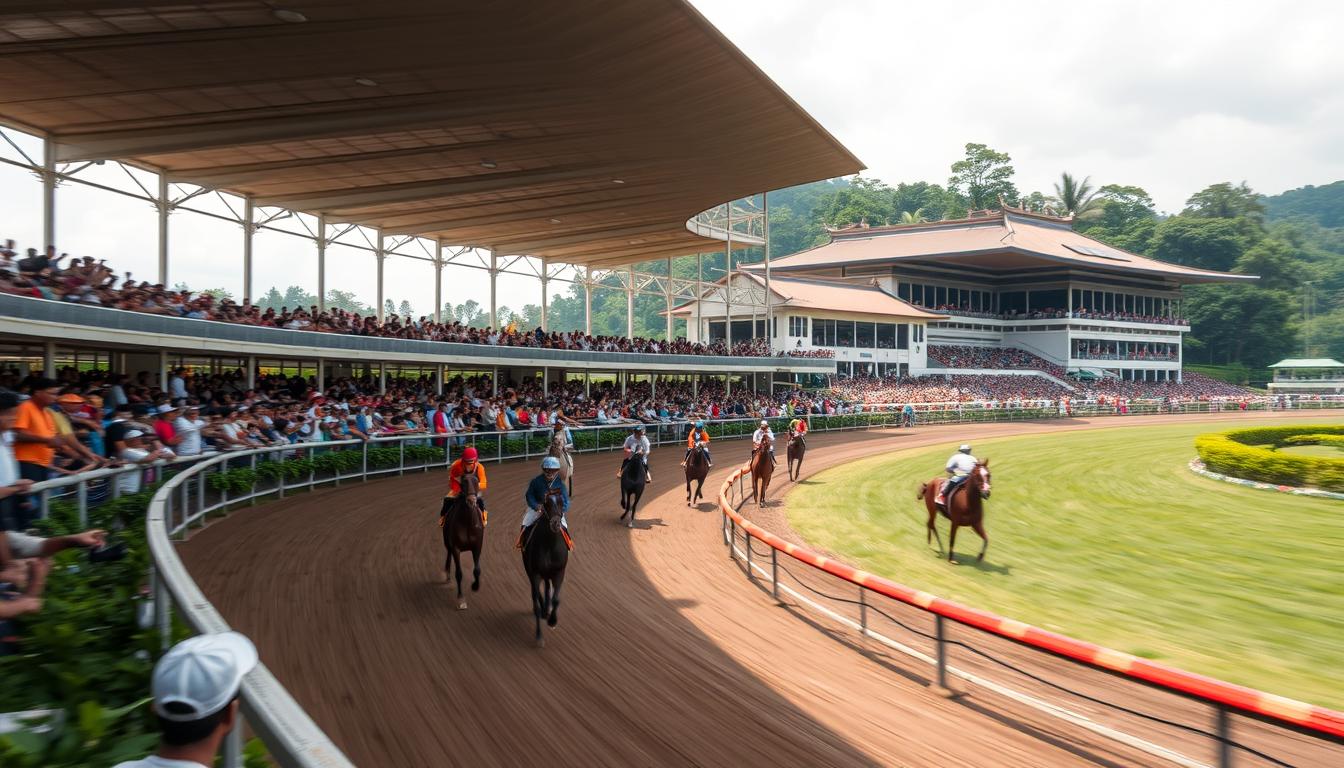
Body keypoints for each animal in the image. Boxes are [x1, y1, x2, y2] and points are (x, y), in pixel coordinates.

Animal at [440, 470, 483, 610]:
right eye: (463, 482)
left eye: (476, 481)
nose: (471, 501)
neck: (467, 522)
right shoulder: (456, 548)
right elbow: (459, 573)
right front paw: (461, 599)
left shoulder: (477, 546)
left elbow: (477, 570)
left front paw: (475, 586)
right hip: (447, 541)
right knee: (448, 553)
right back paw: (447, 574)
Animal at [521, 486, 569, 648]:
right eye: (546, 503)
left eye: (561, 501)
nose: (555, 524)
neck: (550, 545)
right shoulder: (535, 572)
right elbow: (536, 600)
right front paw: (539, 636)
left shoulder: (559, 572)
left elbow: (556, 599)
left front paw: (553, 620)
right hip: (530, 570)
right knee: (536, 592)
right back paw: (543, 609)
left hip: (548, 574)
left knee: (547, 589)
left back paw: (547, 610)